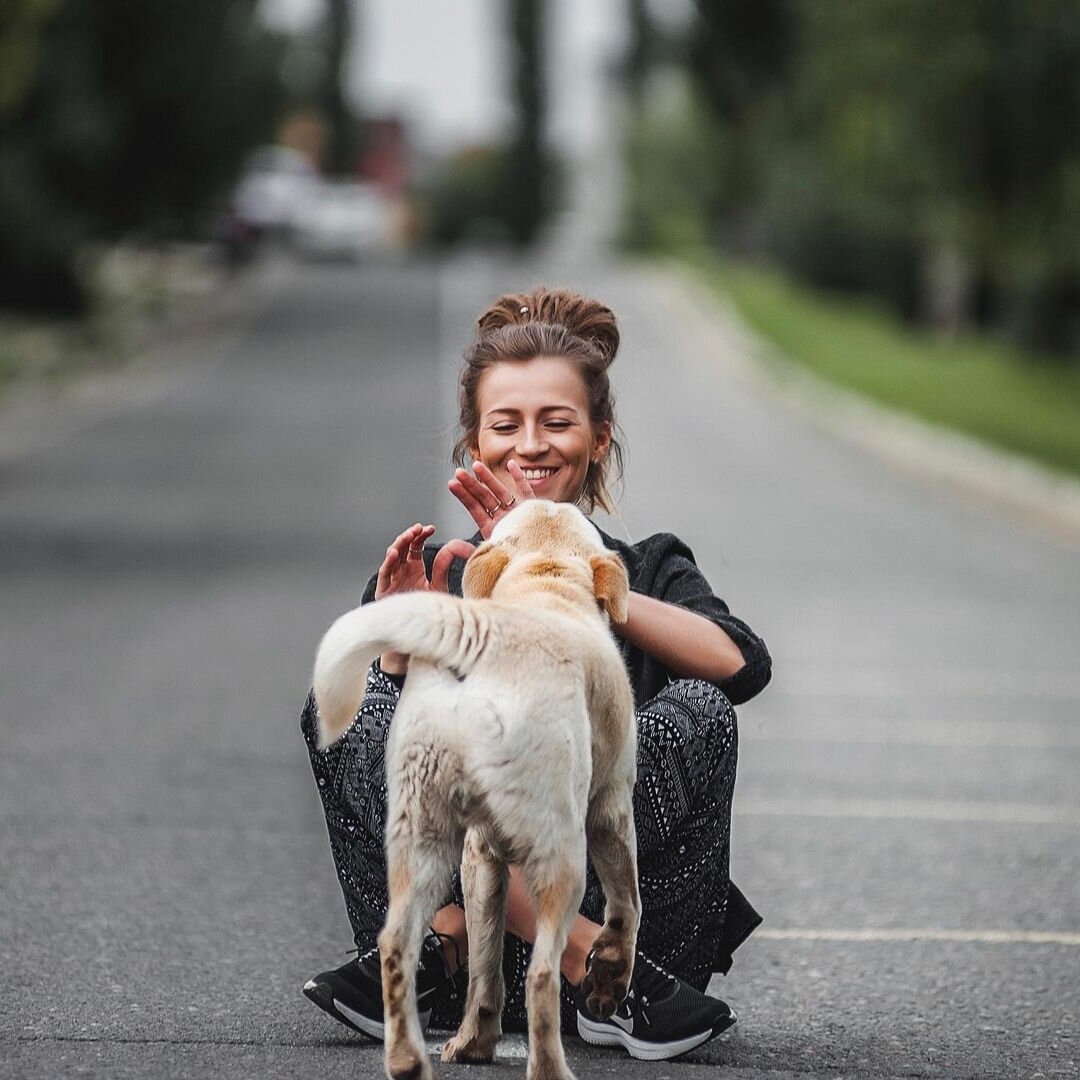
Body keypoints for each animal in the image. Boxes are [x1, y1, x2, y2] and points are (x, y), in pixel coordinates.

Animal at [315, 501, 643, 1080]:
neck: (544, 580)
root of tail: (483, 642)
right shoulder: (611, 806)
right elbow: (628, 904)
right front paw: (609, 977)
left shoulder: (479, 855)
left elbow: (485, 965)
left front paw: (474, 1043)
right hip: (562, 853)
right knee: (542, 975)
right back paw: (550, 1069)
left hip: (422, 836)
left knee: (396, 944)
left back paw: (408, 1059)